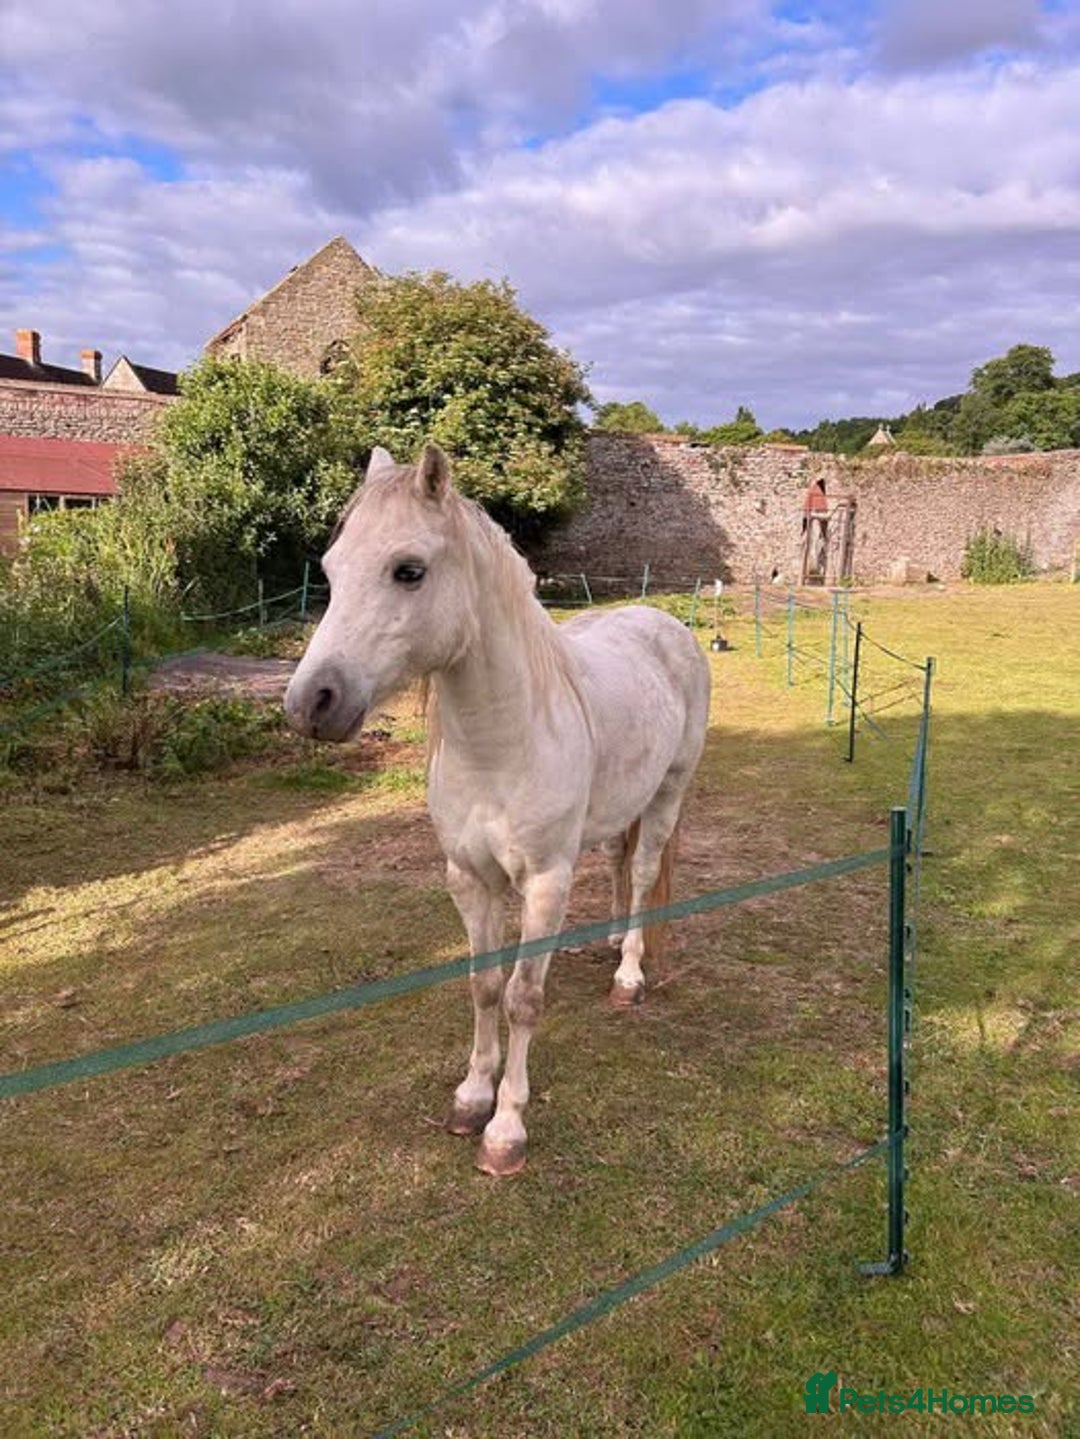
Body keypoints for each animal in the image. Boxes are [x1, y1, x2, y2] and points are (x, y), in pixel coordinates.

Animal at [284, 444, 711, 1176]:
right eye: (332, 570)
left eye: (408, 570)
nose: (311, 702)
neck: (502, 745)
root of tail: (664, 625)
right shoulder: (469, 878)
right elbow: (484, 983)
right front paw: (470, 1098)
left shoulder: (543, 883)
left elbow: (521, 997)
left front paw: (506, 1128)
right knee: (620, 863)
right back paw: (607, 941)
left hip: (667, 794)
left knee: (644, 871)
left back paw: (628, 974)